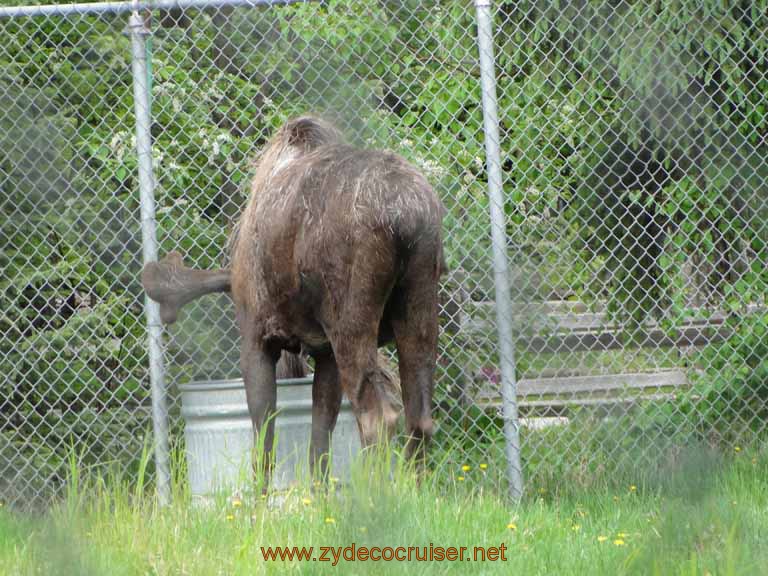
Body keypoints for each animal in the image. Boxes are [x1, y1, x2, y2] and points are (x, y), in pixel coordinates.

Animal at [143, 116, 444, 482]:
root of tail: (406, 217)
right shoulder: (325, 353)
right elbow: (319, 440)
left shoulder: (256, 338)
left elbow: (264, 437)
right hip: (419, 302)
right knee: (420, 418)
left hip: (351, 319)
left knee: (378, 416)